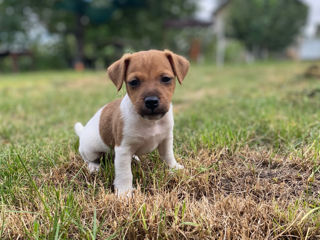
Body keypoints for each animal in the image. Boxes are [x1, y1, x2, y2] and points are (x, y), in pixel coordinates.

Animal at [74, 49, 190, 196]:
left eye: (166, 79)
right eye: (134, 82)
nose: (151, 101)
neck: (150, 122)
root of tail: (82, 132)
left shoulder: (166, 140)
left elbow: (168, 156)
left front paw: (175, 168)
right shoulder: (123, 149)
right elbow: (125, 173)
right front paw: (124, 193)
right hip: (90, 150)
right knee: (89, 159)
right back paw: (94, 167)